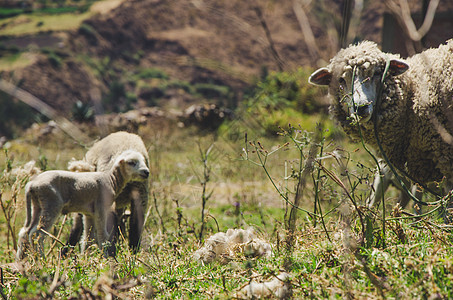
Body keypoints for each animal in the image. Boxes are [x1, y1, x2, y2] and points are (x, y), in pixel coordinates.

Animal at [15, 150, 148, 260]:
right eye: (131, 162)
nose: (146, 172)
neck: (111, 180)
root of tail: (32, 184)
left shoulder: (89, 213)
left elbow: (87, 238)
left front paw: (86, 258)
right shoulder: (101, 208)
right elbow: (102, 235)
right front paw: (105, 259)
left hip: (37, 205)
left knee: (25, 232)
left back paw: (21, 260)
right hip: (51, 204)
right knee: (37, 234)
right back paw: (41, 259)